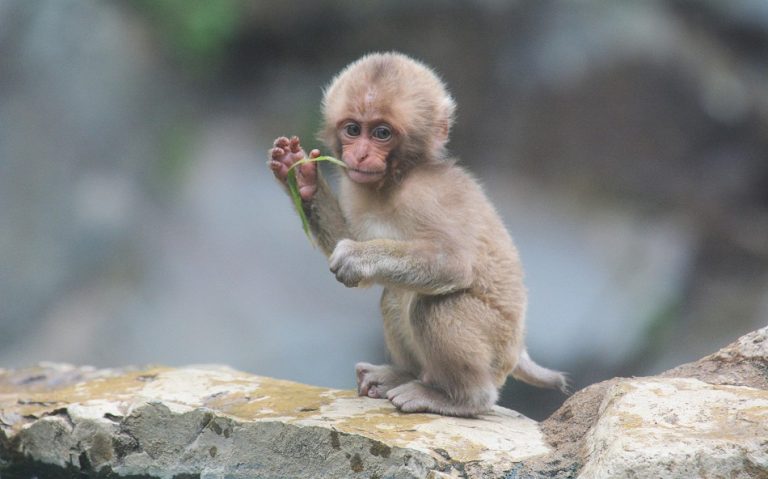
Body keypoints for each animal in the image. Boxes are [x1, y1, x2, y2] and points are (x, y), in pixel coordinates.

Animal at [268, 50, 568, 414]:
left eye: (382, 133)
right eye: (353, 129)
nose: (360, 154)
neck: (396, 179)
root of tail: (518, 348)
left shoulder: (429, 195)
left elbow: (453, 263)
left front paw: (356, 257)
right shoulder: (355, 186)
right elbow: (356, 250)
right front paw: (302, 177)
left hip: (496, 346)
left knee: (433, 305)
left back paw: (459, 397)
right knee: (394, 294)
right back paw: (403, 375)